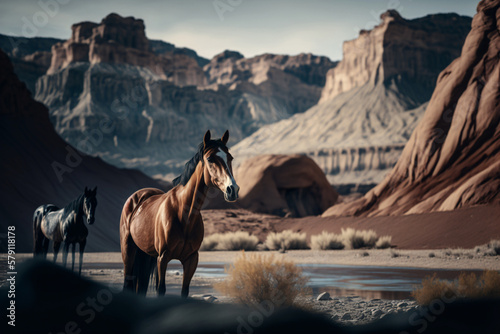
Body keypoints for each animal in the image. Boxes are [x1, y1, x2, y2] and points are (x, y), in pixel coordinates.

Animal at [120, 130, 239, 298]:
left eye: (230, 158)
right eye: (210, 159)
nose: (232, 190)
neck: (184, 214)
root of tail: (137, 197)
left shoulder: (191, 260)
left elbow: (184, 291)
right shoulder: (163, 258)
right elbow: (161, 289)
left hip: (145, 255)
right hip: (128, 251)